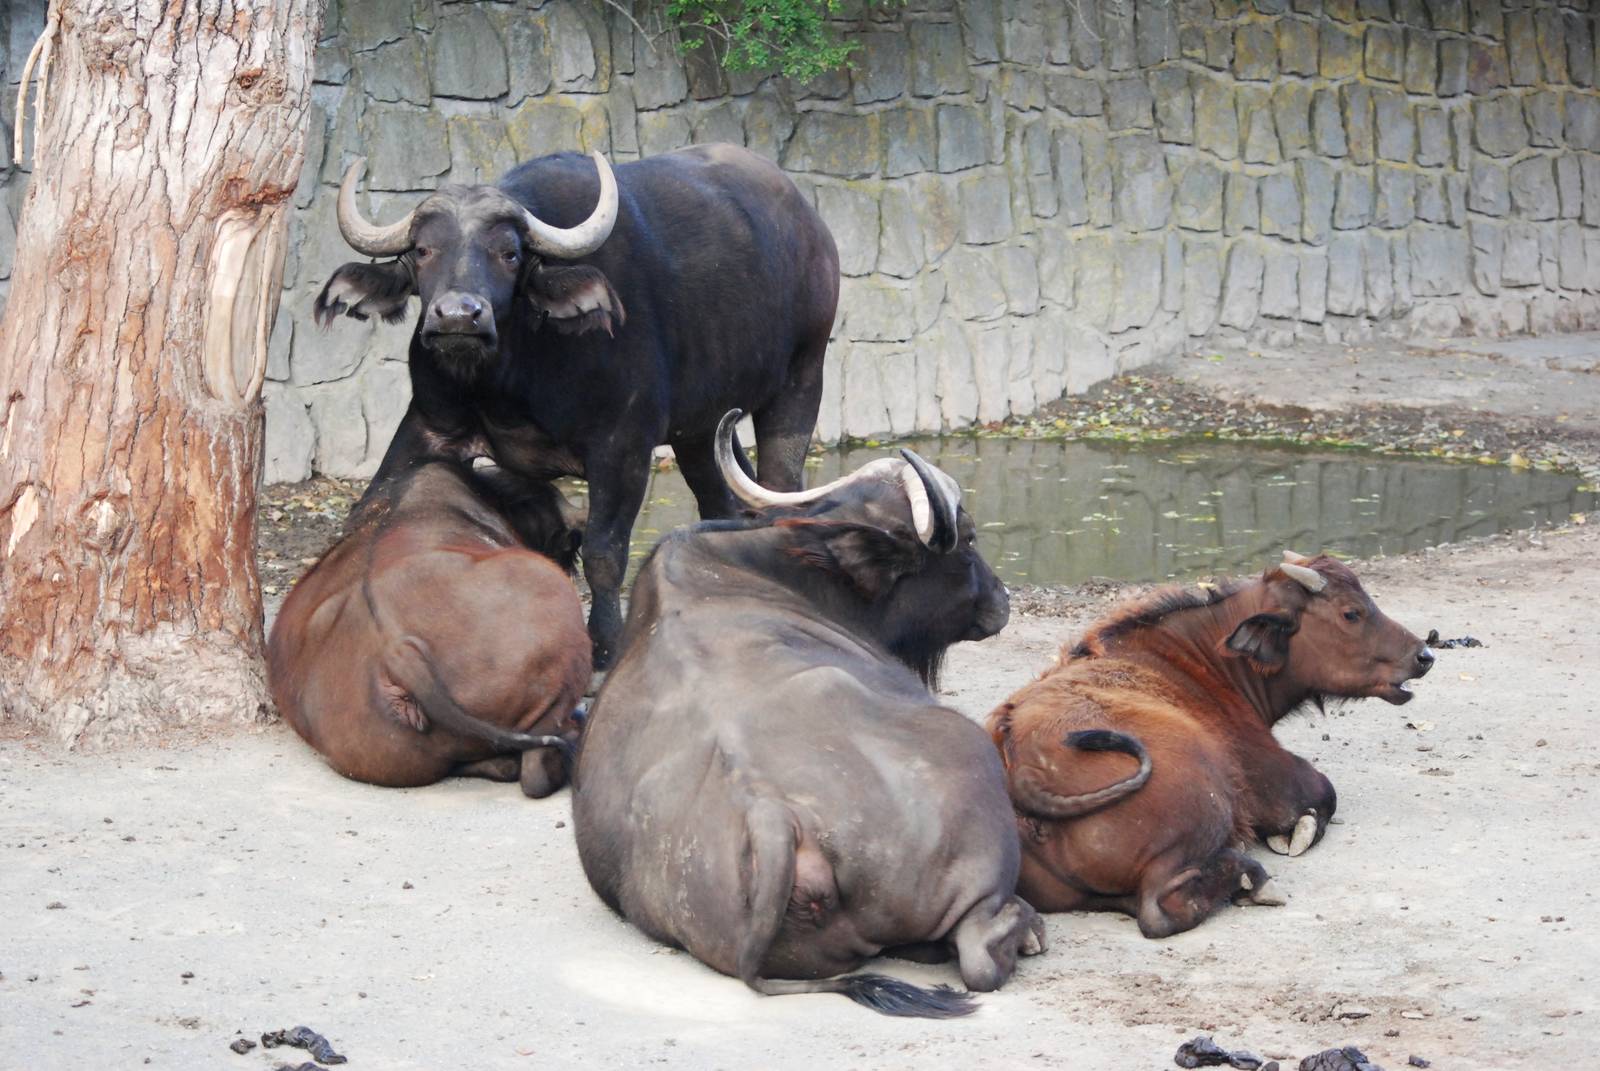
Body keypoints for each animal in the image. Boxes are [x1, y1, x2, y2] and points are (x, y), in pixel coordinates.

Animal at [314, 144, 839, 668]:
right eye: (423, 250)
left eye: (509, 254)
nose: (460, 315)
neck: (508, 379)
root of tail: (813, 229)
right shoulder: (429, 425)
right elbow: (368, 507)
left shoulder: (622, 447)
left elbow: (604, 551)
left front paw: (605, 643)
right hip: (703, 426)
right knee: (723, 497)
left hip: (801, 380)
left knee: (780, 487)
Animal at [572, 412, 1043, 1018]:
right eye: (970, 535)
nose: (1002, 599)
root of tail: (774, 818)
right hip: (971, 763)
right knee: (980, 954)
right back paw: (1025, 930)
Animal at [987, 552, 1434, 938]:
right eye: (1351, 612)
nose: (1424, 653)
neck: (1201, 660)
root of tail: (1023, 769)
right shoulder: (1275, 775)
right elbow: (1321, 794)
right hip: (1207, 807)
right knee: (1161, 909)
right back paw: (1251, 878)